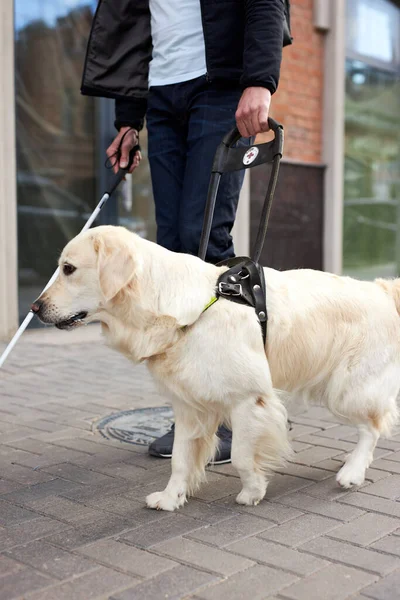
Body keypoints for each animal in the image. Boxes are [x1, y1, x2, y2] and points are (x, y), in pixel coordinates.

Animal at [34, 225, 400, 510]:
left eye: (68, 268)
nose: (35, 307)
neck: (188, 311)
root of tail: (380, 289)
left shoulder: (248, 399)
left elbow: (240, 455)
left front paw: (253, 491)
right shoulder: (187, 406)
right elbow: (180, 459)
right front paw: (170, 498)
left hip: (346, 390)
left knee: (374, 425)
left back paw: (352, 471)